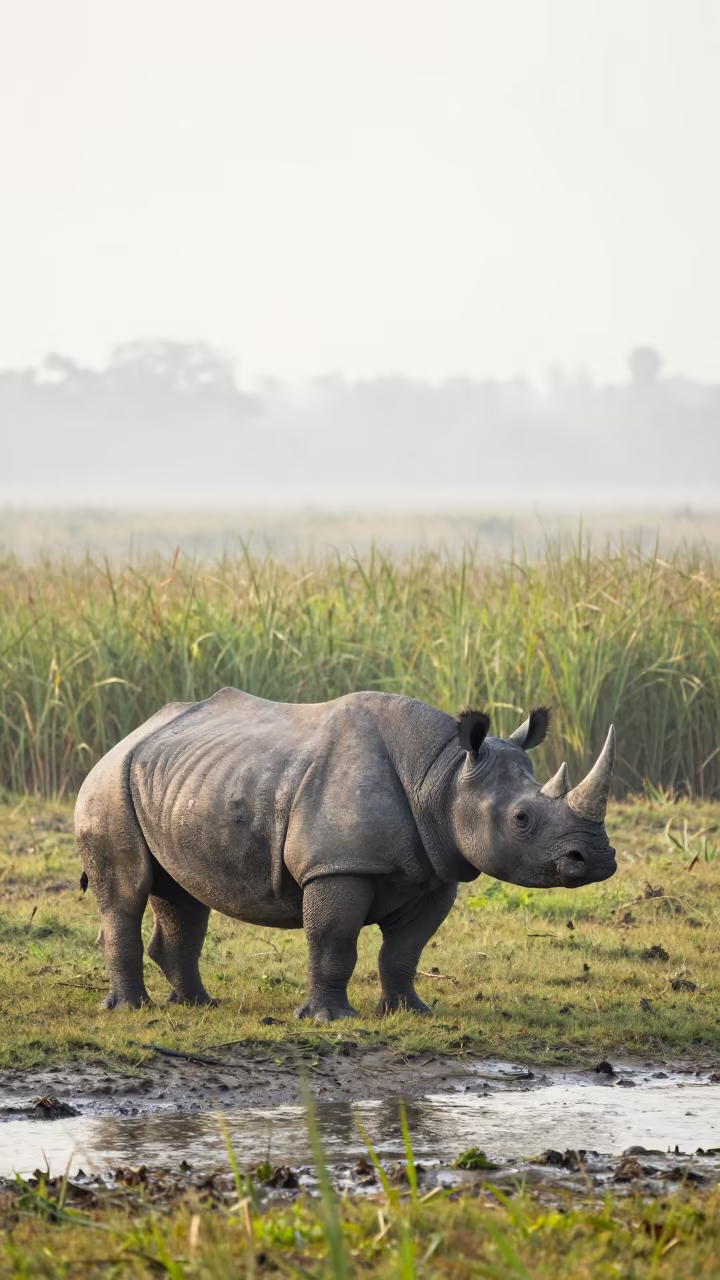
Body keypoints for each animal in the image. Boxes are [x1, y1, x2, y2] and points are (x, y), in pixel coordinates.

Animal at [75, 688, 617, 1018]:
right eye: (521, 818)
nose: (597, 859)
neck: (441, 774)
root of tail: (124, 738)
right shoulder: (335, 867)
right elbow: (334, 940)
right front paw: (328, 1018)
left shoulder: (436, 870)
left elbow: (405, 949)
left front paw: (409, 1012)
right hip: (107, 786)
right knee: (127, 892)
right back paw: (132, 1009)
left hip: (178, 783)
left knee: (181, 897)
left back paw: (198, 1006)